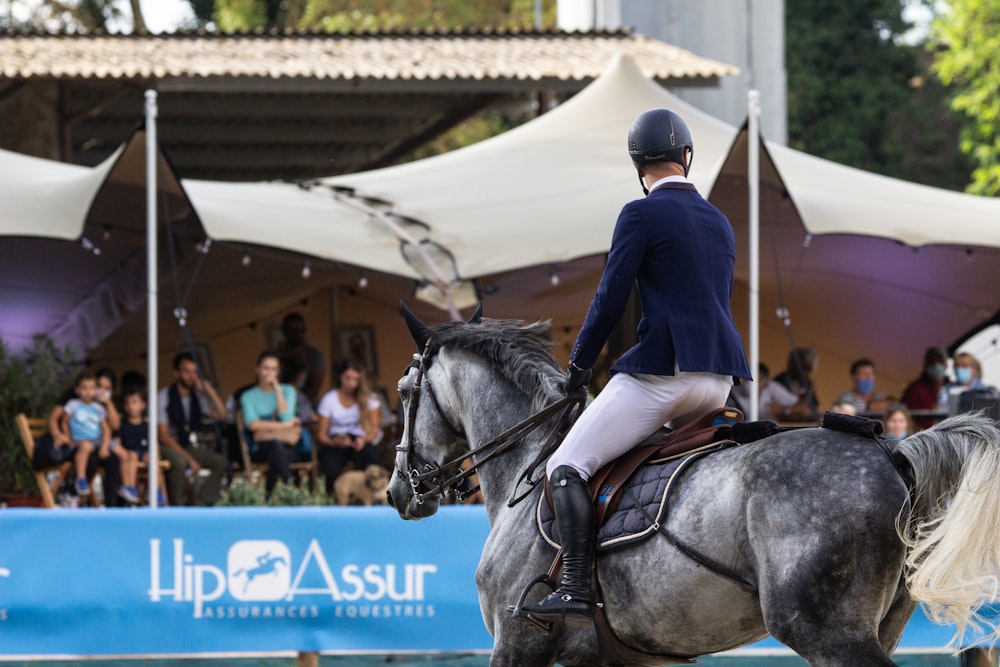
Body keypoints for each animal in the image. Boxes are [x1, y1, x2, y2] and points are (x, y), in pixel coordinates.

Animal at [386, 314, 1000, 667]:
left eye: (403, 391)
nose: (397, 492)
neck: (529, 461)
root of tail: (891, 451)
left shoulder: (517, 642)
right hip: (880, 625)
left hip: (829, 632)